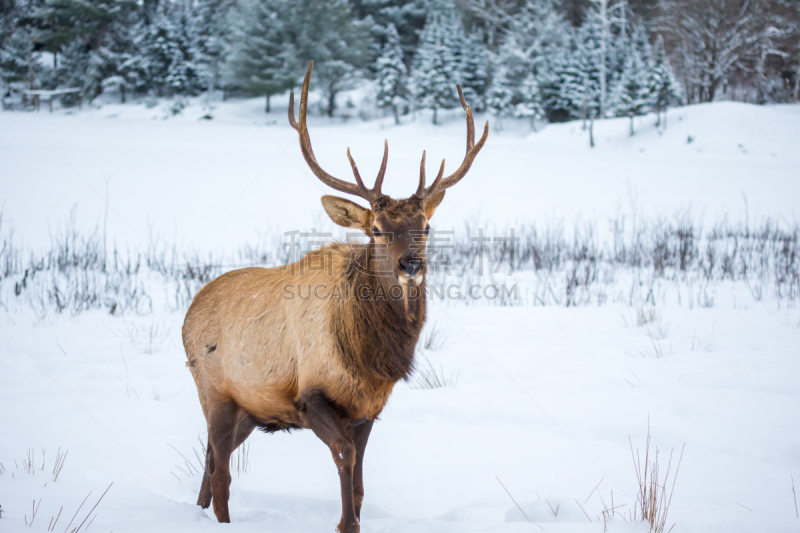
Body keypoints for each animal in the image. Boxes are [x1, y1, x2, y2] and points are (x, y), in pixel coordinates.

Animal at [183, 60, 488, 528]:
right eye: (376, 229)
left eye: (427, 225)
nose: (411, 265)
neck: (371, 358)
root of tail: (189, 310)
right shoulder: (311, 394)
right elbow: (345, 456)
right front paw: (345, 524)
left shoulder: (368, 407)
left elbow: (360, 479)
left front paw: (354, 516)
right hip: (214, 392)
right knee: (220, 471)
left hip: (250, 409)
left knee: (208, 461)